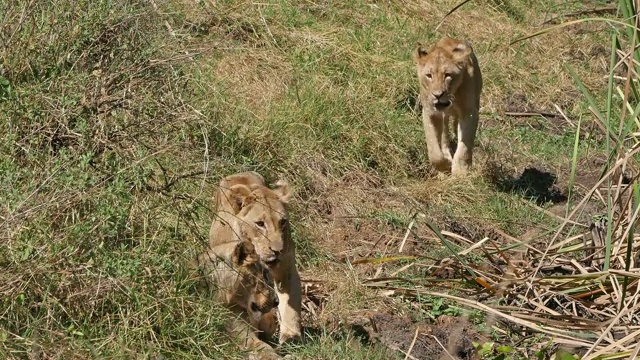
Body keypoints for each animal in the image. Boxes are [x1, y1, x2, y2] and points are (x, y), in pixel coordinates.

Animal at [208, 173, 302, 344]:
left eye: (282, 222)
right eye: (260, 224)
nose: (278, 251)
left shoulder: (286, 267)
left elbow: (290, 300)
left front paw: (291, 335)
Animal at [412, 37, 482, 176]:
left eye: (448, 75)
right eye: (429, 75)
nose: (438, 95)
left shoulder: (469, 113)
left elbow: (465, 145)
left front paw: (460, 171)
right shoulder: (430, 113)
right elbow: (433, 149)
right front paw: (444, 166)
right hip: (443, 117)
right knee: (444, 136)